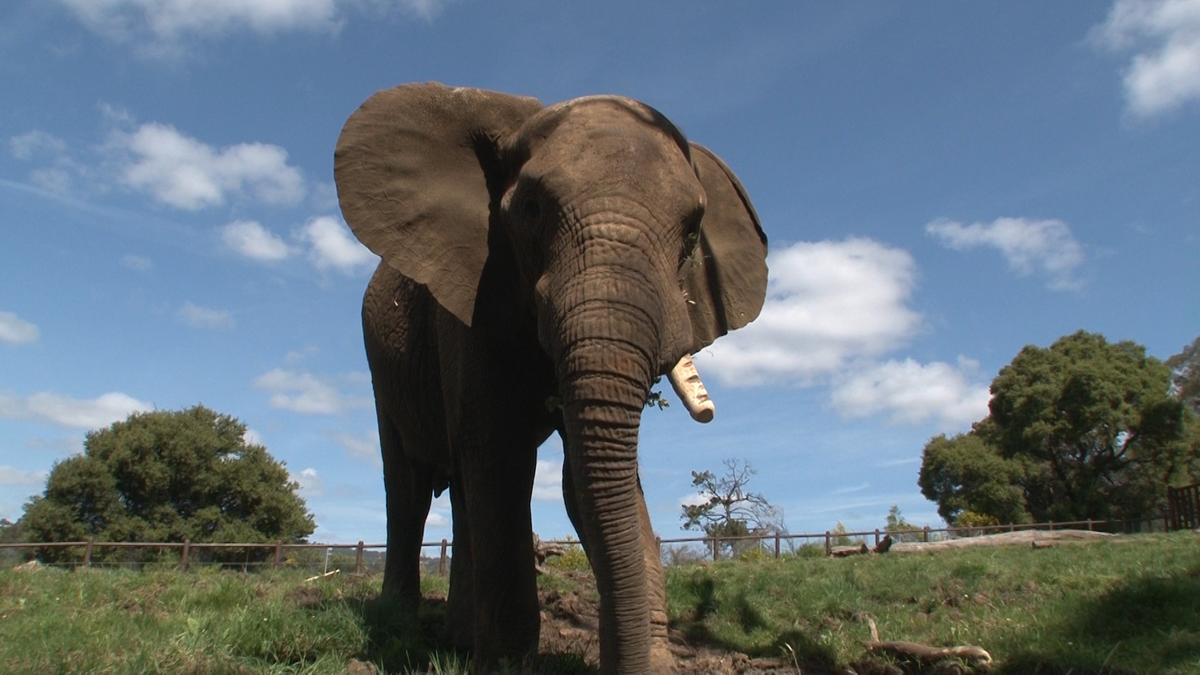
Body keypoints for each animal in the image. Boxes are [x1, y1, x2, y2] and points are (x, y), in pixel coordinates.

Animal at [334, 82, 767, 673]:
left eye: (691, 231)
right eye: (532, 210)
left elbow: (582, 479)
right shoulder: (472, 296)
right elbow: (500, 455)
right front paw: (506, 667)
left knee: (462, 492)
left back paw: (459, 640)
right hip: (381, 361)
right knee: (409, 486)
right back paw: (400, 625)